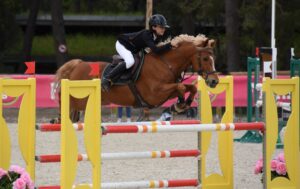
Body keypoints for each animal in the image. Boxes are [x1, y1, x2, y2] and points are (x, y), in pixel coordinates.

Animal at [52, 34, 219, 122]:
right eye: (205, 58)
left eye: (213, 58)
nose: (214, 81)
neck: (166, 63)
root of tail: (78, 64)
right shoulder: (155, 94)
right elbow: (181, 86)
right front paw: (179, 105)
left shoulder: (163, 93)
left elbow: (191, 87)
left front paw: (182, 104)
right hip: (78, 99)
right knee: (65, 105)